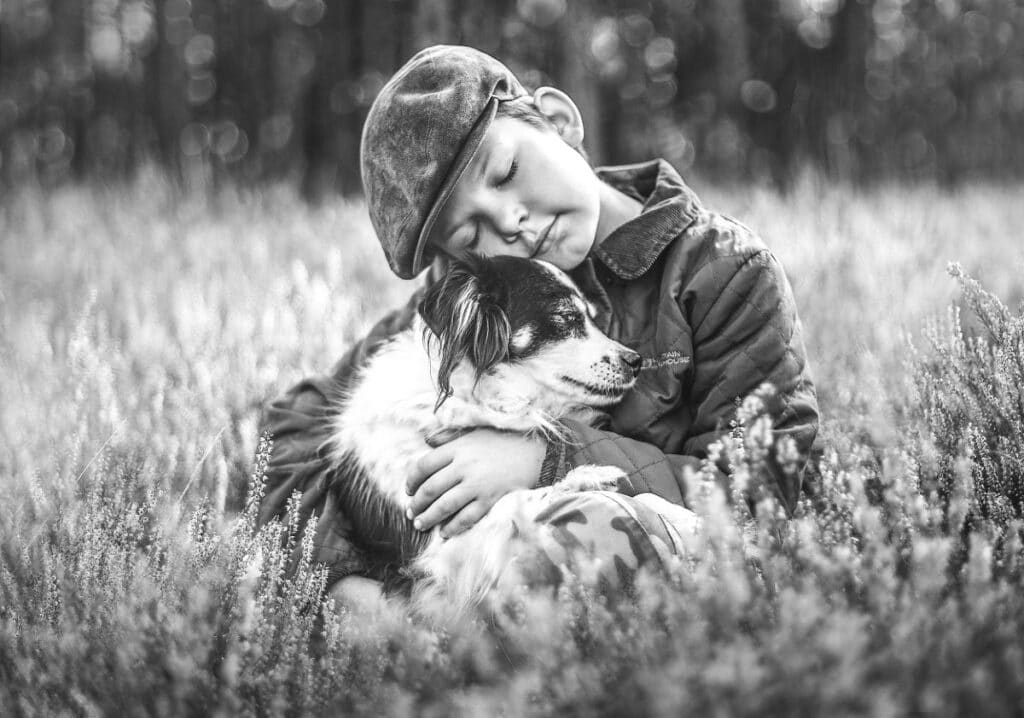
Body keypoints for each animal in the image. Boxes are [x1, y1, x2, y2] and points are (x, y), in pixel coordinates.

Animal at [325, 255, 696, 614]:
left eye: (592, 318)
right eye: (566, 317)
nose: (636, 361)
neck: (486, 396)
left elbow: (649, 497)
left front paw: (686, 519)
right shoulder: (438, 547)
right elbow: (514, 499)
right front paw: (585, 478)